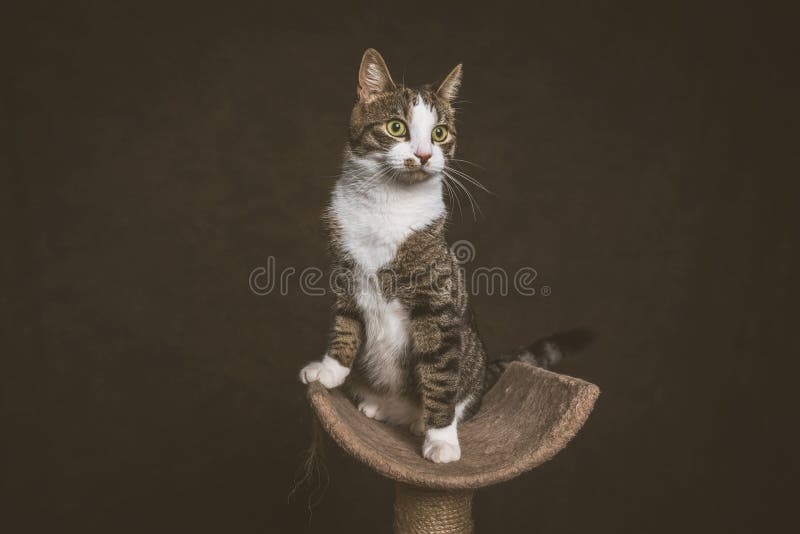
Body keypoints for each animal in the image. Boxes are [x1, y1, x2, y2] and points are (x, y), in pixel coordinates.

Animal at [296, 48, 592, 462]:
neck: (386, 205)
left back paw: (422, 421)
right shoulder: (345, 269)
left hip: (470, 359)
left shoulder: (437, 301)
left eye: (439, 133)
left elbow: (438, 371)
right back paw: (377, 404)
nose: (423, 155)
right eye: (396, 127)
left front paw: (440, 439)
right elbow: (345, 323)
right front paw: (330, 371)